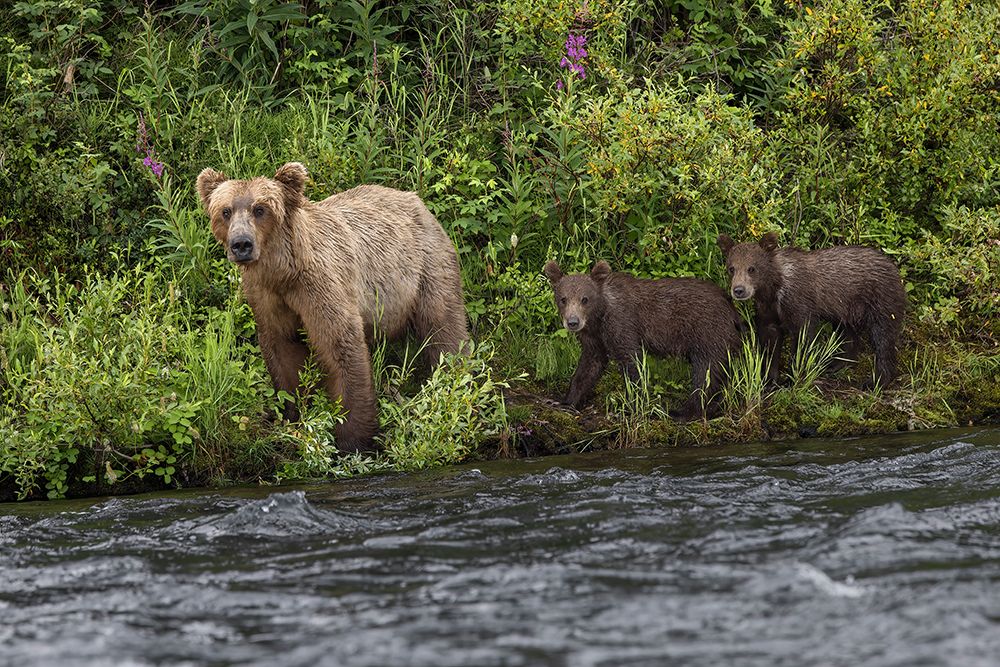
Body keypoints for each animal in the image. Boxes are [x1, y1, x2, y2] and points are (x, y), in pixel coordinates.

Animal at [197, 162, 469, 452]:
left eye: (260, 209)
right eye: (225, 211)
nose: (241, 244)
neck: (283, 272)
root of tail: (417, 200)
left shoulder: (321, 285)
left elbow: (340, 344)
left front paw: (354, 439)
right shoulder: (267, 298)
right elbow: (282, 349)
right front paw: (293, 413)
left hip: (425, 268)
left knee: (443, 327)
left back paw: (455, 376)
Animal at [543, 260, 744, 420]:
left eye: (584, 299)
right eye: (563, 299)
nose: (573, 322)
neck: (599, 316)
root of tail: (731, 306)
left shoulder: (622, 323)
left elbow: (632, 362)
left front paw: (629, 408)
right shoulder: (594, 337)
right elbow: (589, 366)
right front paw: (565, 401)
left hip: (707, 332)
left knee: (706, 371)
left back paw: (682, 412)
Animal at [717, 232, 906, 387]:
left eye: (752, 268)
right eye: (731, 268)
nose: (739, 290)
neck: (773, 288)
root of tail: (894, 267)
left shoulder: (798, 304)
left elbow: (803, 338)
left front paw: (792, 377)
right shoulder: (768, 310)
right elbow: (770, 341)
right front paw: (769, 379)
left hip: (880, 301)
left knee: (883, 337)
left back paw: (876, 381)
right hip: (845, 309)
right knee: (848, 334)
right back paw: (835, 365)